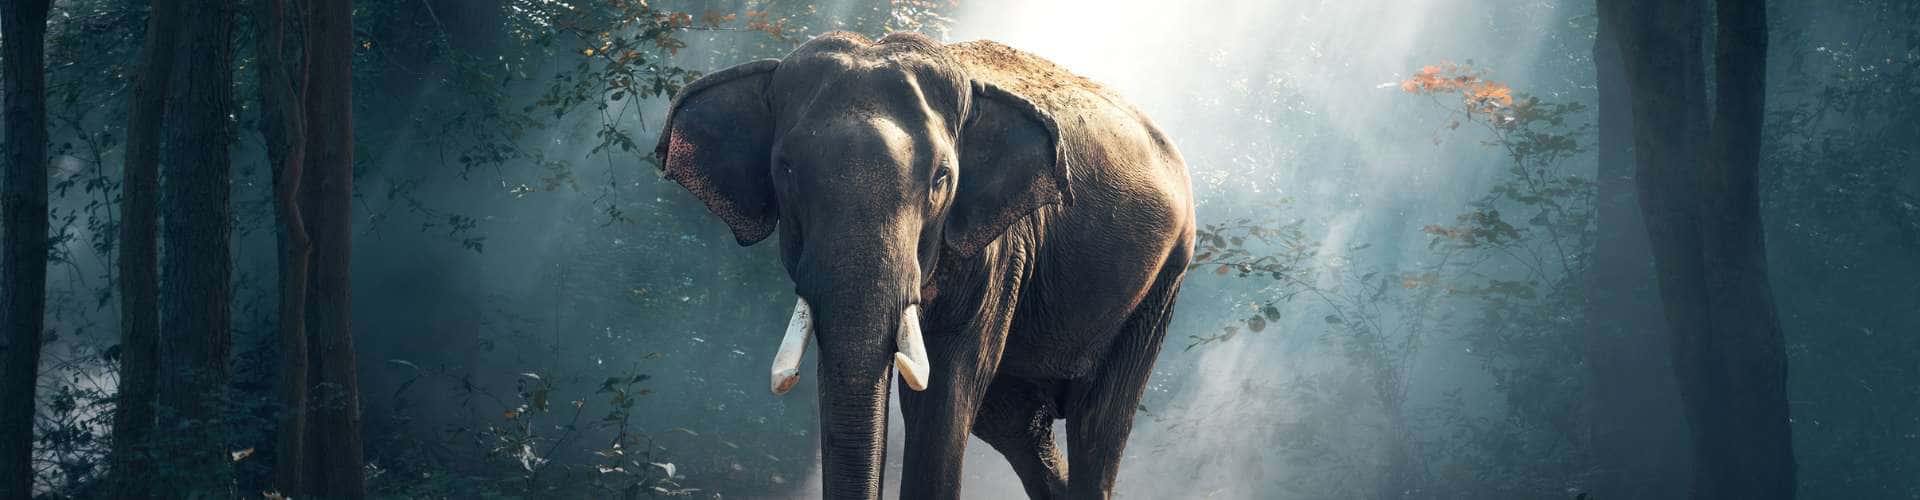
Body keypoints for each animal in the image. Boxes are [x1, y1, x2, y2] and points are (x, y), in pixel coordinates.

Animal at [652, 31, 1194, 500]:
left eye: (942, 178)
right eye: (784, 169)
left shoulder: (1000, 250)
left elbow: (944, 390)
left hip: (1163, 284)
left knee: (1097, 424)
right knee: (1015, 423)